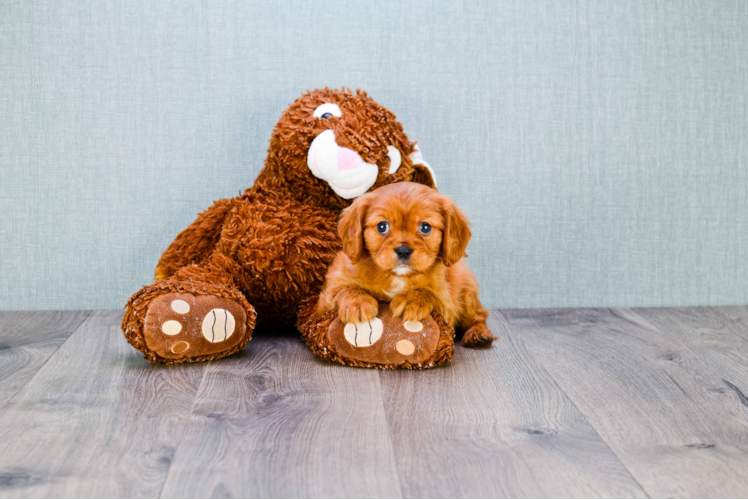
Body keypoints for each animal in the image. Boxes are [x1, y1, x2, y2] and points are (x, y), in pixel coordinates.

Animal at [318, 181, 496, 348]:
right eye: (382, 226)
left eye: (425, 227)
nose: (403, 251)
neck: (397, 276)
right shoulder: (327, 295)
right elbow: (345, 288)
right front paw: (358, 302)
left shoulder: (446, 304)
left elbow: (429, 293)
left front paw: (412, 300)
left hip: (467, 295)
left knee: (479, 316)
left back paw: (478, 334)